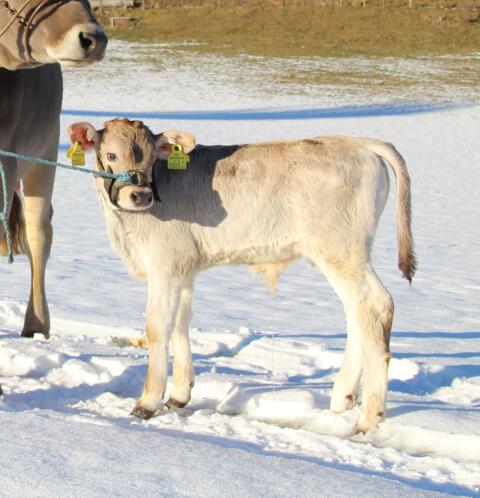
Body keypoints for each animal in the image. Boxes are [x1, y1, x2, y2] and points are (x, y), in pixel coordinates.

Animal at [68, 118, 416, 432]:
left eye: (153, 158)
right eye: (111, 155)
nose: (140, 195)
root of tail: (359, 142)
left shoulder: (165, 266)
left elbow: (157, 327)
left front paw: (147, 402)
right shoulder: (183, 268)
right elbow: (180, 323)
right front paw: (179, 394)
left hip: (340, 249)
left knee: (376, 305)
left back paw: (368, 417)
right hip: (343, 254)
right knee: (356, 312)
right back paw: (342, 397)